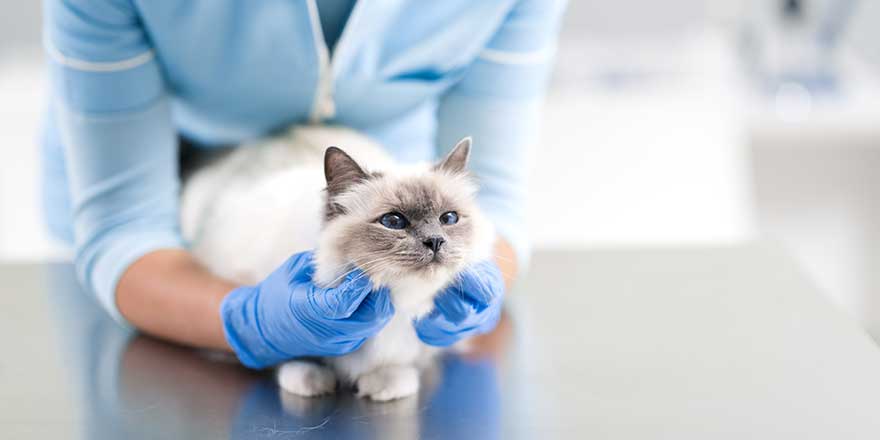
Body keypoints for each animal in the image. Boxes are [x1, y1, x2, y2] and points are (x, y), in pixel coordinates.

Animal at [179, 125, 496, 400]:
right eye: (393, 221)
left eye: (449, 218)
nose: (435, 241)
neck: (396, 301)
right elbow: (283, 347)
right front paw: (311, 379)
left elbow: (399, 363)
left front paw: (385, 383)